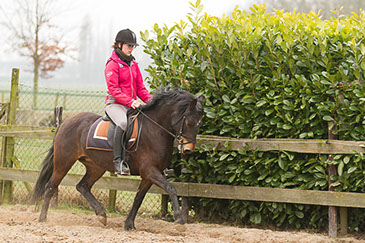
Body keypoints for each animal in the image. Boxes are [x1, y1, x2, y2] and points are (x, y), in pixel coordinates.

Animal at [31, 89, 203, 230]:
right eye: (189, 122)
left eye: (199, 124)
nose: (188, 150)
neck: (155, 129)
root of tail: (65, 122)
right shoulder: (150, 171)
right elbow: (171, 188)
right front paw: (179, 220)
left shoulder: (149, 175)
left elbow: (138, 198)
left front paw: (129, 224)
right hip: (63, 162)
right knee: (50, 187)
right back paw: (42, 218)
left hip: (96, 167)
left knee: (82, 186)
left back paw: (101, 214)